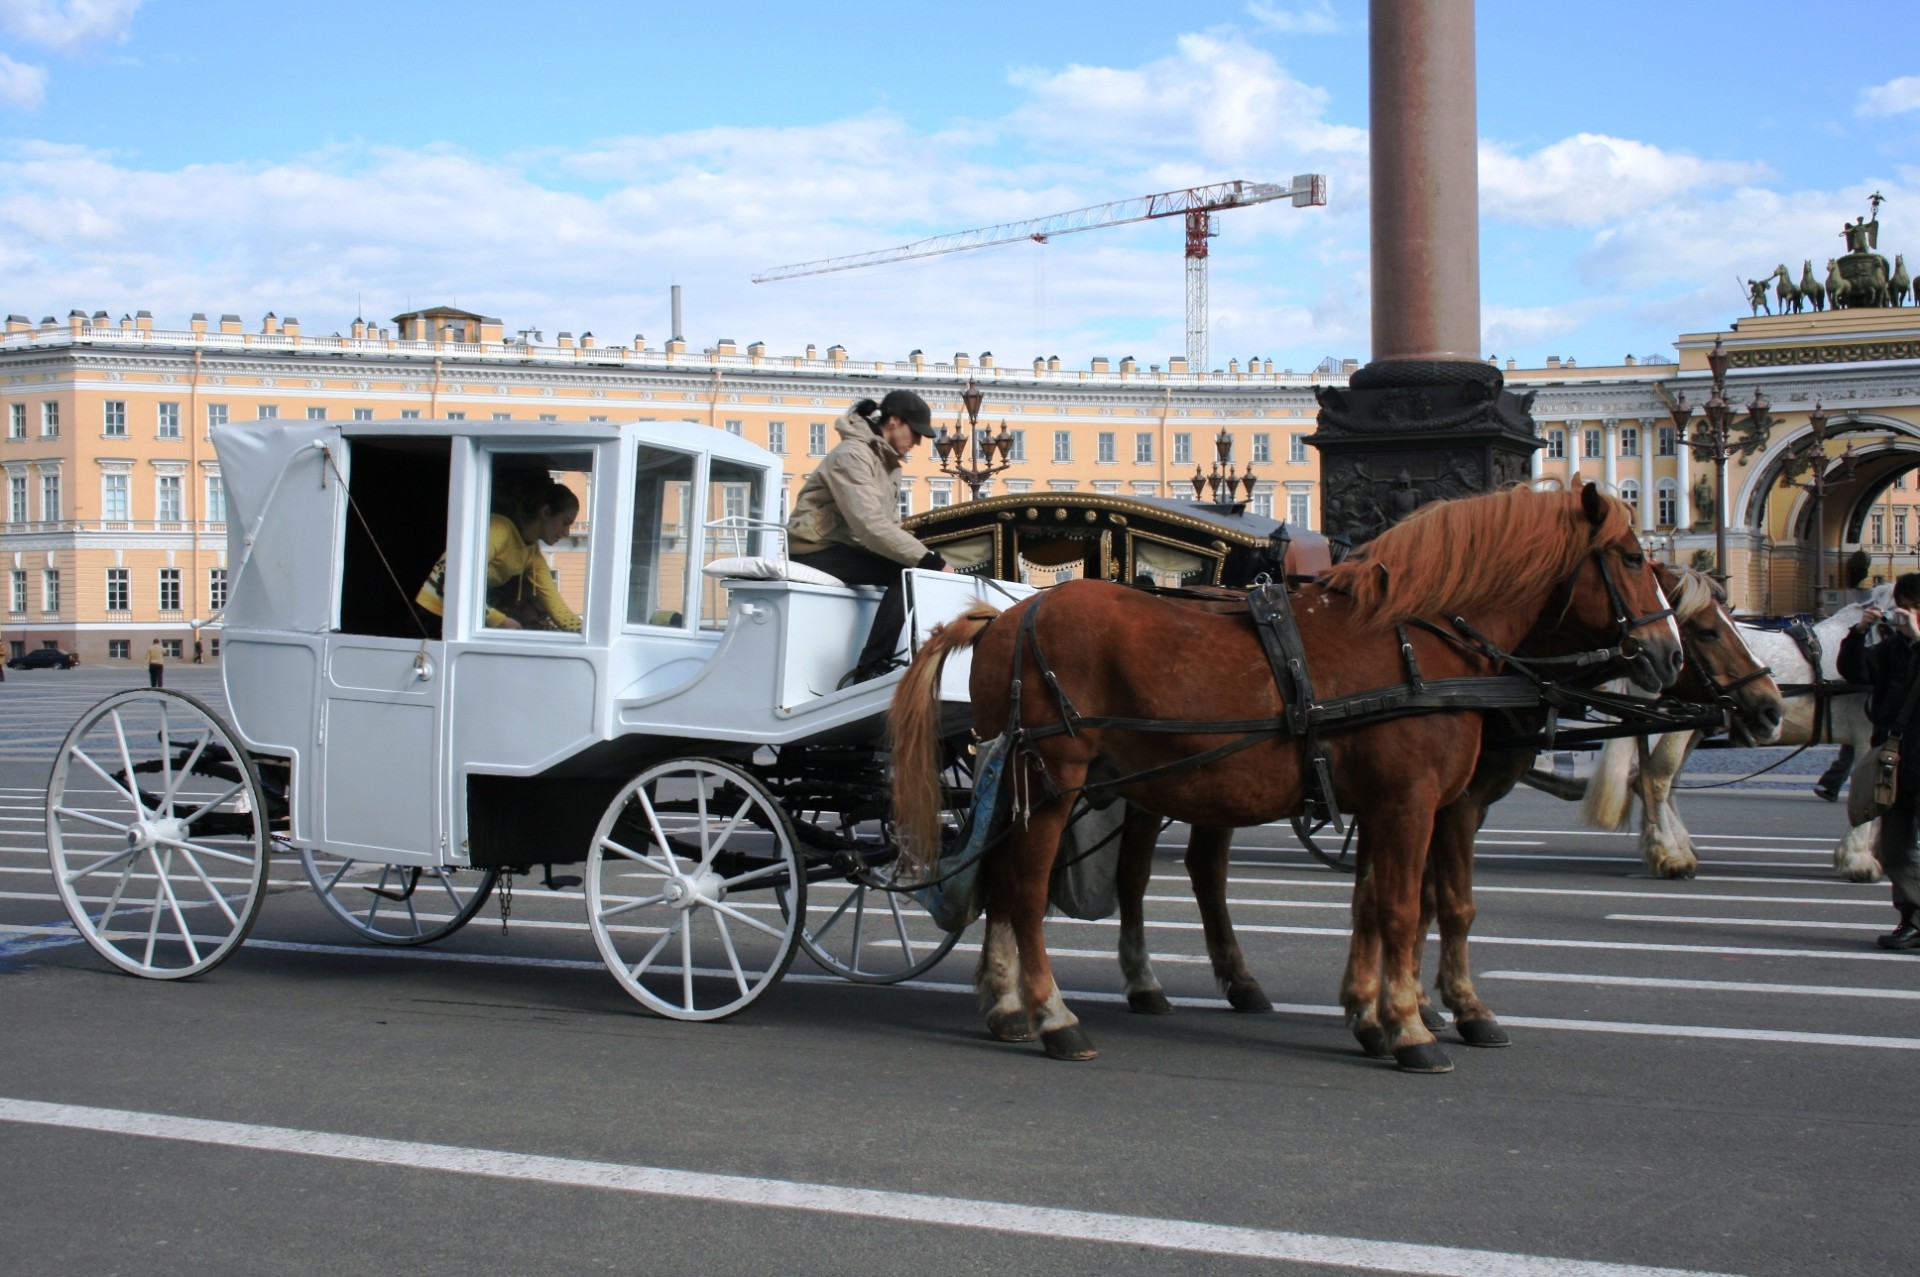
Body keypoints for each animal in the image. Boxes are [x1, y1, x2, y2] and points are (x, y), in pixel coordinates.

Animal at [887, 483, 1681, 1067]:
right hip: (1054, 780)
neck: (1417, 641)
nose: (1668, 655)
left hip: (1041, 784)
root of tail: (999, 617)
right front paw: (1414, 1027)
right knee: (1025, 889)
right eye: (1631, 557)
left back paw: (1010, 1007)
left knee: (1008, 881)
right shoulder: (1416, 803)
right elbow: (1410, 909)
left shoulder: (1389, 806)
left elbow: (1376, 906)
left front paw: (1374, 1016)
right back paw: (1055, 1017)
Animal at [1582, 583, 1881, 875]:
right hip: (1675, 726)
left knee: (1662, 780)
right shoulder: (1870, 735)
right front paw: (1857, 858)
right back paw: (1670, 852)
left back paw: (1676, 845)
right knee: (1653, 779)